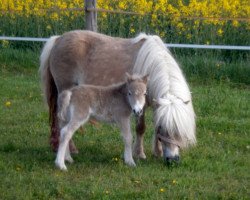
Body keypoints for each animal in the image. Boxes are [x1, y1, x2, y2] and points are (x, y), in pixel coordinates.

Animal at [39, 30, 196, 164]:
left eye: (179, 131)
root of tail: (58, 39)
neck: (151, 66)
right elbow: (140, 128)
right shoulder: (140, 107)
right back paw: (70, 150)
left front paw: (157, 152)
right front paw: (139, 154)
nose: (173, 159)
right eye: (166, 130)